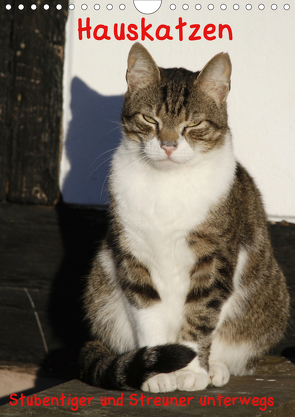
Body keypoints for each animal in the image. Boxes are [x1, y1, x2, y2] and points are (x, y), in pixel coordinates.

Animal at [78, 44, 290, 392]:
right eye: (149, 118)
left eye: (193, 124)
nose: (168, 145)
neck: (167, 183)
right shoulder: (133, 254)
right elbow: (147, 311)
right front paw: (157, 372)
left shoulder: (215, 258)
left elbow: (201, 313)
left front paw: (191, 371)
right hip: (101, 290)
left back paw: (215, 367)